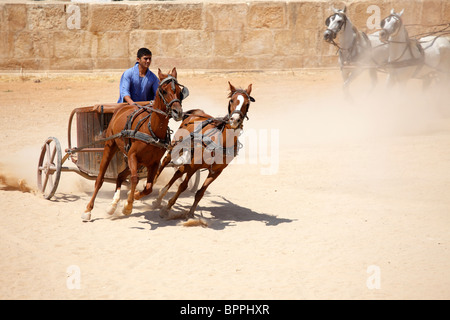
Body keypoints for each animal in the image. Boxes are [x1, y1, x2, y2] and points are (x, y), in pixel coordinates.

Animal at [81, 68, 186, 221]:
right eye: (164, 91)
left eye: (179, 91)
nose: (178, 112)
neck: (152, 130)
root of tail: (123, 108)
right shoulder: (132, 156)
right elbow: (135, 179)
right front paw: (128, 206)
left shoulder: (153, 162)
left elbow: (148, 187)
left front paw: (134, 197)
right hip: (110, 147)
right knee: (100, 179)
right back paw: (88, 209)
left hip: (140, 162)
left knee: (120, 176)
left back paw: (113, 205)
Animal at [153, 81, 255, 220]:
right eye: (232, 100)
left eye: (247, 103)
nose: (234, 120)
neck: (220, 141)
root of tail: (196, 112)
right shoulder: (194, 165)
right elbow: (183, 186)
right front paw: (167, 208)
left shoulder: (216, 172)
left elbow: (200, 192)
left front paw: (190, 213)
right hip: (175, 147)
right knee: (164, 164)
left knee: (178, 172)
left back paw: (159, 198)